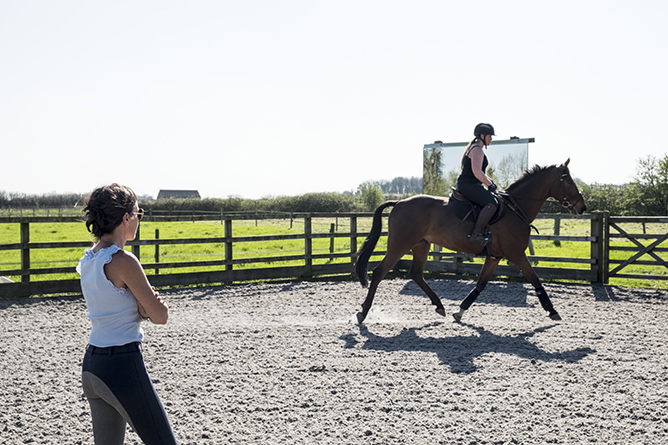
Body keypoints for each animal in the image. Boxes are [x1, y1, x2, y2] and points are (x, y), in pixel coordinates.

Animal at [354, 159, 584, 322]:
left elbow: (481, 284)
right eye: (569, 181)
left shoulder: (495, 257)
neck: (516, 207)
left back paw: (439, 305)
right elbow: (536, 280)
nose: (582, 207)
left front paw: (460, 311)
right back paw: (363, 313)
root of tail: (399, 202)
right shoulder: (516, 254)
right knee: (379, 273)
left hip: (421, 245)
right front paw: (552, 310)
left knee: (416, 274)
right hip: (399, 245)